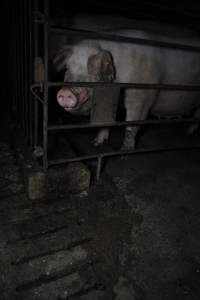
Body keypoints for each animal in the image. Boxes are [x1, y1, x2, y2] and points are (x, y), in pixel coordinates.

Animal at [52, 28, 200, 148]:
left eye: (94, 71)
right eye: (67, 68)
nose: (66, 91)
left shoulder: (140, 97)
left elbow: (131, 126)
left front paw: (124, 153)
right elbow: (107, 120)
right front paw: (95, 144)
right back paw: (188, 132)